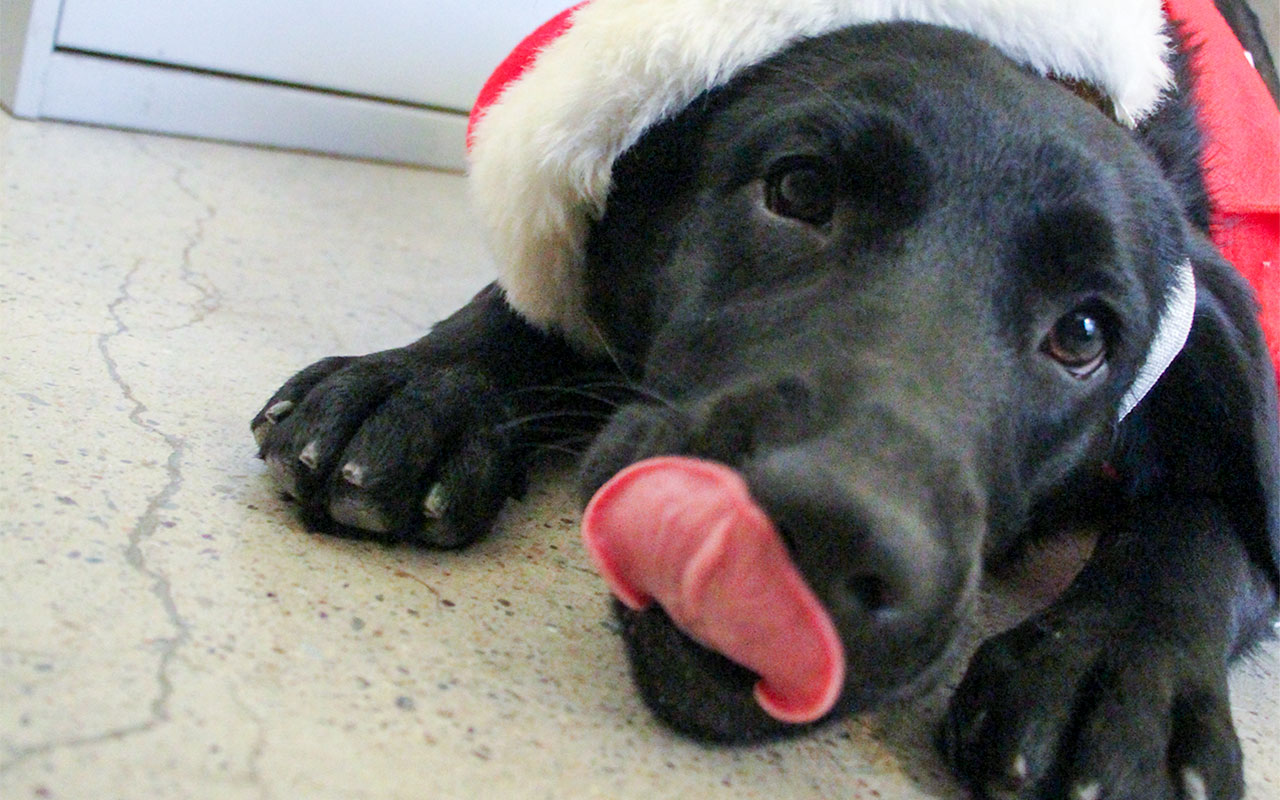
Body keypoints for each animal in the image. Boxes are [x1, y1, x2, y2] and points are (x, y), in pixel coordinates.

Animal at [252, 6, 1280, 798]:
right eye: (799, 186)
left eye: (1085, 335)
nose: (824, 539)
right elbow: (533, 303)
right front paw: (424, 386)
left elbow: (1202, 532)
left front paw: (1115, 671)